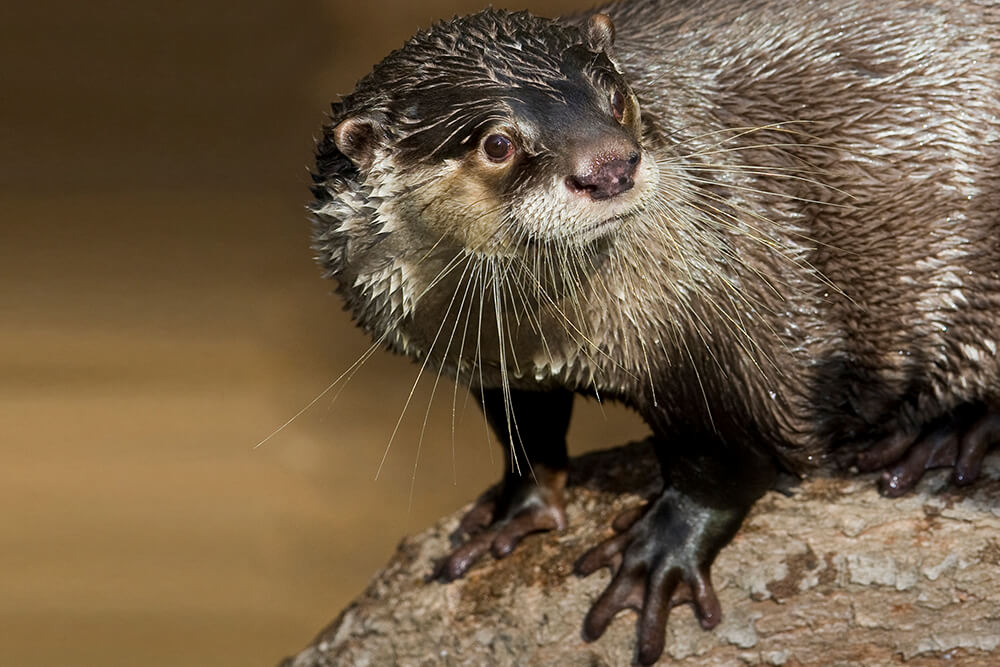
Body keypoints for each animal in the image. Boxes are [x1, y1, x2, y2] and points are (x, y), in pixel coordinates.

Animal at [310, 1, 1000, 664]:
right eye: (498, 143)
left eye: (615, 97)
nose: (610, 166)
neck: (552, 337)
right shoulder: (485, 360)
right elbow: (527, 433)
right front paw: (516, 509)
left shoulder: (735, 316)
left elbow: (735, 451)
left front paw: (662, 551)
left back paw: (945, 435)